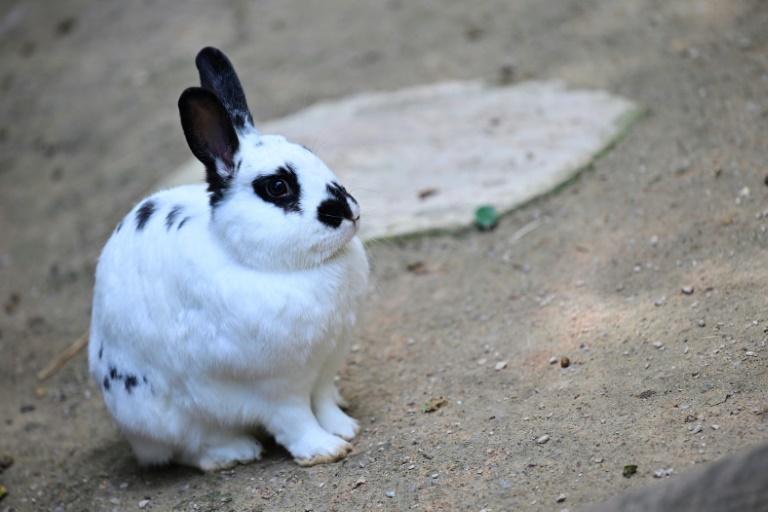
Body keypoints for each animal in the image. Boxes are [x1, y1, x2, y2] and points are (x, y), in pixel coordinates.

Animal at [87, 48, 368, 472]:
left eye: (312, 156)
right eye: (278, 186)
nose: (349, 211)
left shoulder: (324, 367)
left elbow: (322, 403)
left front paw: (345, 429)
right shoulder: (277, 386)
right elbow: (296, 419)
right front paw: (323, 450)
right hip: (164, 413)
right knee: (190, 449)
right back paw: (235, 452)